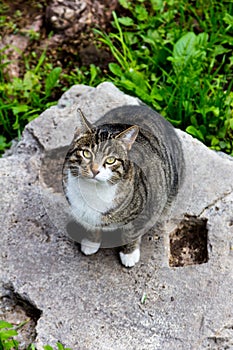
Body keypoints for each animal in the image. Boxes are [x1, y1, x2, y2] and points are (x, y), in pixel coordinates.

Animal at [62, 105, 184, 266]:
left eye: (111, 160)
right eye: (87, 154)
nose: (95, 170)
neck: (93, 192)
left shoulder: (144, 211)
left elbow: (131, 233)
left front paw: (129, 254)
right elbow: (92, 227)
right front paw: (91, 243)